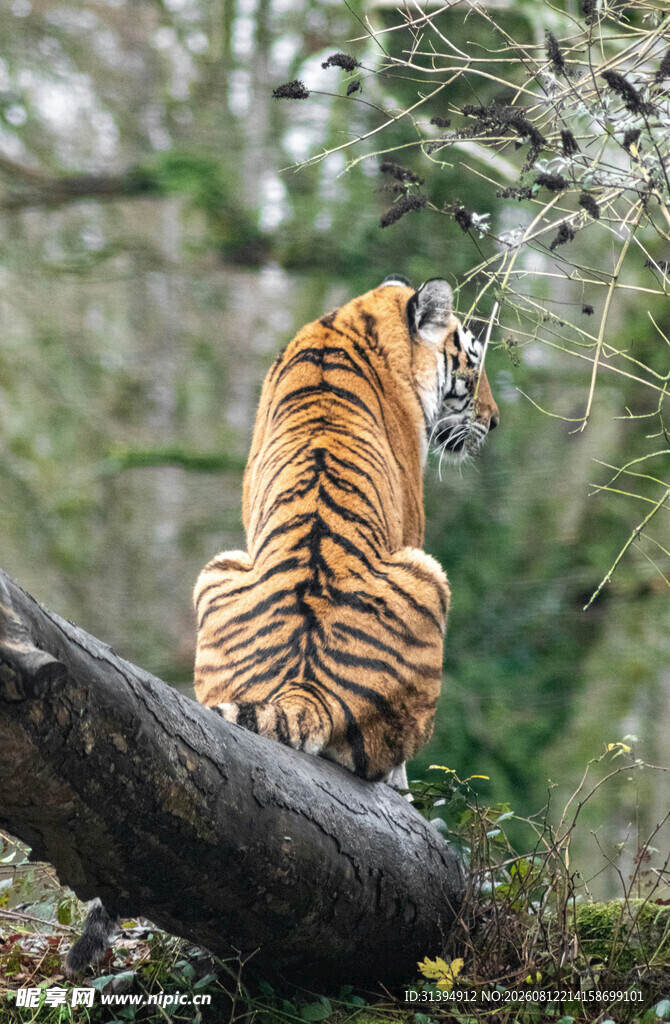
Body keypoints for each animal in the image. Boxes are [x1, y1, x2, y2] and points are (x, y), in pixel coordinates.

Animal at [193, 275, 499, 787]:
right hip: (431, 573)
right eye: (472, 367)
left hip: (216, 569)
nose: (494, 421)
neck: (354, 320)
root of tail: (304, 690)